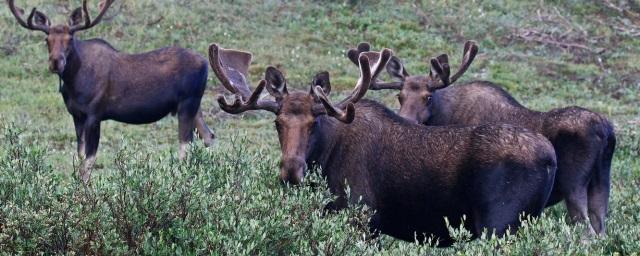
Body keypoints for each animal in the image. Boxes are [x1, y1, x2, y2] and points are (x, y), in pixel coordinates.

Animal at [6, 0, 215, 184]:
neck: (73, 82)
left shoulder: (94, 114)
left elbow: (88, 162)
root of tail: (206, 63)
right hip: (194, 106)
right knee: (209, 136)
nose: (56, 62)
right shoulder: (76, 115)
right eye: (47, 39)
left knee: (186, 146)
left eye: (70, 39)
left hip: (188, 103)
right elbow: (80, 156)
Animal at [209, 43, 556, 245]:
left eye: (314, 123)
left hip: (500, 225)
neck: (326, 158)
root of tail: (550, 158)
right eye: (277, 122)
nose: (291, 172)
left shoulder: (363, 218)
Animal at [348, 41, 616, 234]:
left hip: (574, 186)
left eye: (428, 96)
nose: (407, 120)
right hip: (601, 183)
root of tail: (606, 132)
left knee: (587, 233)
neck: (443, 115)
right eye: (400, 96)